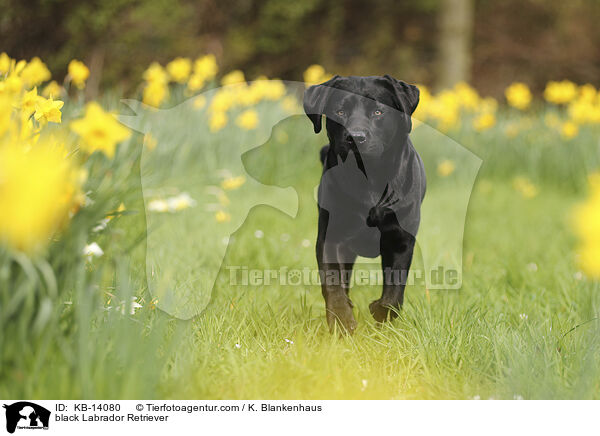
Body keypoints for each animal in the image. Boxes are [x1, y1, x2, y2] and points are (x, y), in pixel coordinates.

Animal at [304, 76, 426, 334]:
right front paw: (342, 320)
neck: (368, 179)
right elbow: (333, 283)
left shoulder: (400, 240)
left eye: (378, 112)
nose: (356, 137)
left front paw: (379, 311)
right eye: (339, 111)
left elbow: (394, 291)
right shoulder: (332, 237)